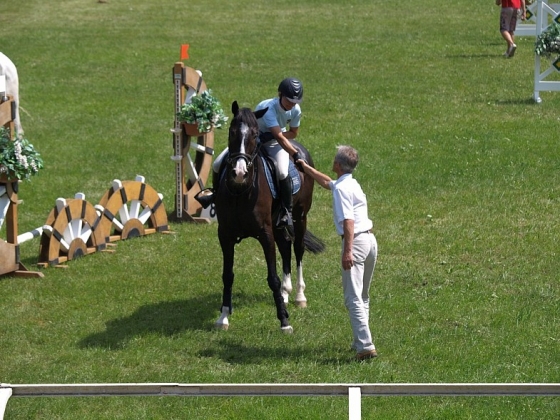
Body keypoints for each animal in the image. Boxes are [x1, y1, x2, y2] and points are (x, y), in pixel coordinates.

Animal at [214, 100, 328, 334]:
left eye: (255, 134)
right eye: (231, 131)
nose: (239, 173)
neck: (241, 191)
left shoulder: (265, 233)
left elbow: (272, 278)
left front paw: (284, 321)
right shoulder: (225, 235)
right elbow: (227, 275)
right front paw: (223, 317)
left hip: (299, 217)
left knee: (298, 249)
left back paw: (299, 296)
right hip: (278, 224)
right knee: (285, 247)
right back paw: (285, 294)